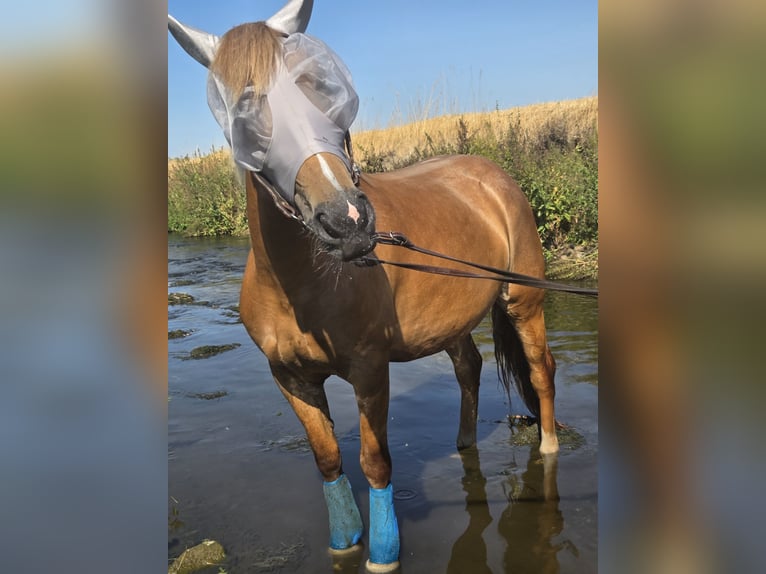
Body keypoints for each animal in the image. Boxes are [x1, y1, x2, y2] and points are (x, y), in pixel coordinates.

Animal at [169, 2, 558, 571]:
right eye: (244, 108)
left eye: (320, 88)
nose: (347, 220)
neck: (301, 287)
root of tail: (493, 176)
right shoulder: (290, 378)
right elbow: (328, 459)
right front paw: (345, 539)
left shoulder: (370, 369)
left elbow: (374, 461)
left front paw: (383, 552)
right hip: (454, 320)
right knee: (470, 367)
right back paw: (464, 442)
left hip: (522, 303)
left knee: (540, 371)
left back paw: (549, 447)